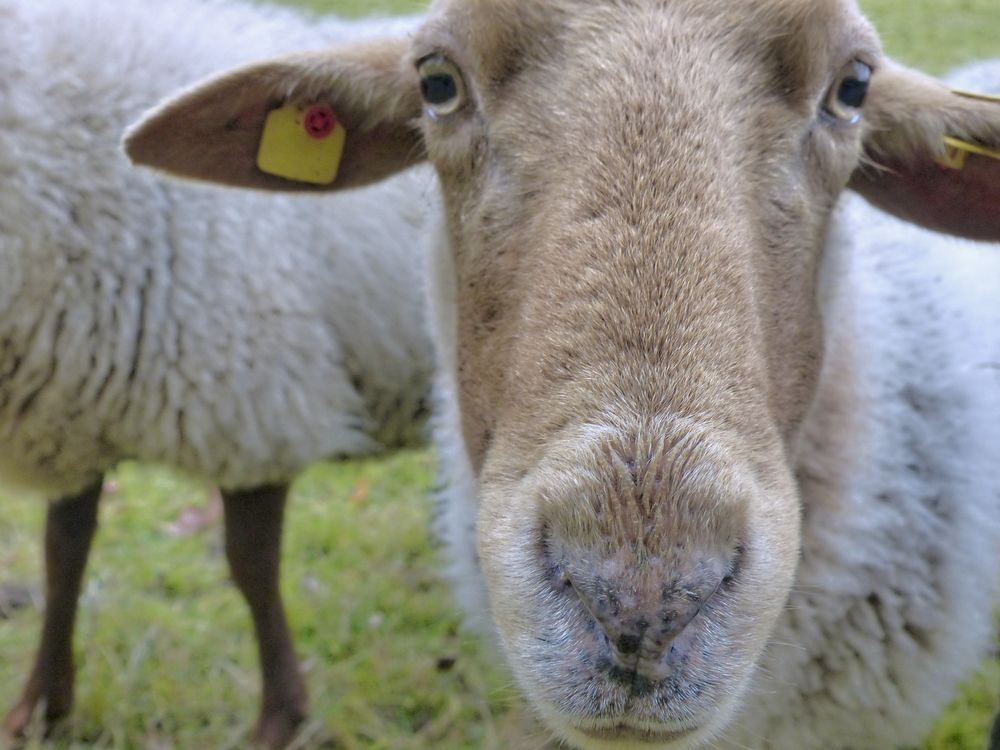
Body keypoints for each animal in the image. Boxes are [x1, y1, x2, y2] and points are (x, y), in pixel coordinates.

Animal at [0, 0, 438, 748]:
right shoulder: (76, 409)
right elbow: (63, 555)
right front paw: (41, 710)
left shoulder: (252, 402)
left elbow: (249, 567)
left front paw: (280, 718)